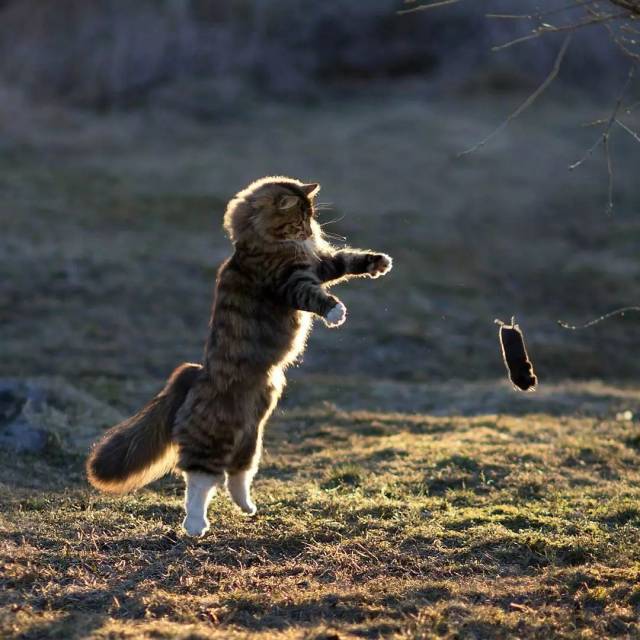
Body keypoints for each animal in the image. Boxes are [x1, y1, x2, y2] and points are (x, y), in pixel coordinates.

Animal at [87, 175, 392, 536]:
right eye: (300, 220)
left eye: (311, 218)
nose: (309, 233)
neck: (261, 242)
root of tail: (196, 373)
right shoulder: (290, 280)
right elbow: (316, 296)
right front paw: (335, 312)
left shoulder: (318, 265)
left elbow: (345, 261)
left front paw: (378, 262)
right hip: (215, 436)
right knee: (199, 480)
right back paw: (195, 525)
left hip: (251, 437)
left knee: (236, 476)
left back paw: (247, 507)